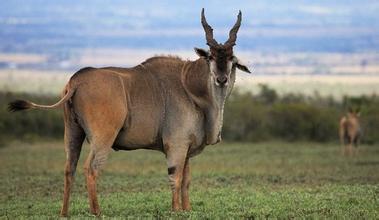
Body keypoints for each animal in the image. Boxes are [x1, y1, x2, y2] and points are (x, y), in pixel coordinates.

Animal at [7, 8, 251, 217]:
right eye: (210, 57)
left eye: (232, 59)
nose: (221, 79)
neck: (189, 86)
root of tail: (76, 81)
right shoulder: (176, 144)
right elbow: (175, 177)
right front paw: (176, 211)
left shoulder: (186, 149)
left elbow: (186, 180)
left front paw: (187, 209)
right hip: (103, 136)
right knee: (91, 168)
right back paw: (97, 212)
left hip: (72, 132)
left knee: (70, 168)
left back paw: (64, 213)